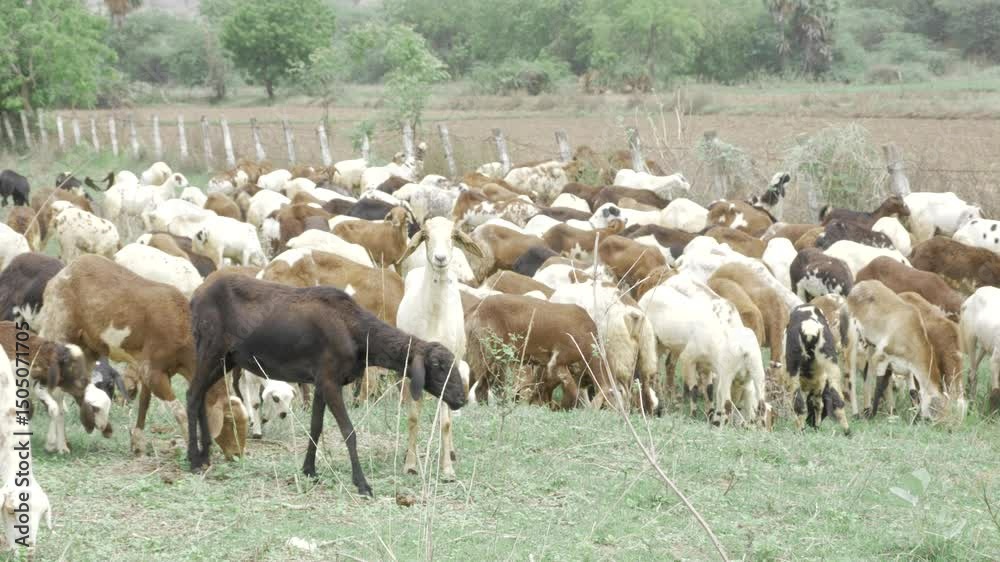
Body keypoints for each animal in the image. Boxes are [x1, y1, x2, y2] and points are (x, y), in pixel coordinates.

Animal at [37, 255, 245, 457]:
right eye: (229, 421)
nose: (237, 455)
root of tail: (62, 273)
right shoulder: (154, 372)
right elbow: (179, 410)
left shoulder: (153, 369)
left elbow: (144, 402)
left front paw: (137, 443)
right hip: (59, 327)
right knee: (56, 390)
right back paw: (59, 444)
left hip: (88, 347)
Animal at [186, 272, 465, 495]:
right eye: (438, 367)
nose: (461, 398)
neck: (358, 333)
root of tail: (196, 296)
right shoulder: (331, 380)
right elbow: (349, 431)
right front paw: (362, 484)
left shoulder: (321, 382)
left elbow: (316, 426)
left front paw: (309, 469)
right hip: (211, 348)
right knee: (192, 395)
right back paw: (194, 459)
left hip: (225, 358)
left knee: (201, 395)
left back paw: (205, 454)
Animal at [784, 305, 850, 434]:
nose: (811, 423)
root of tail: (810, 328)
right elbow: (818, 404)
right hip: (831, 364)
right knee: (838, 400)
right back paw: (847, 431)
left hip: (793, 368)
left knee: (799, 404)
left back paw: (801, 431)